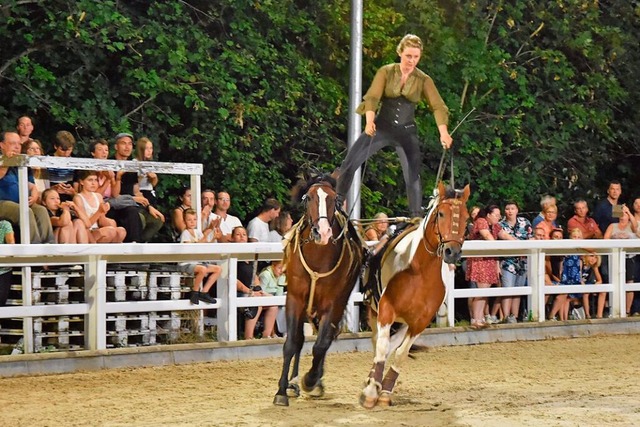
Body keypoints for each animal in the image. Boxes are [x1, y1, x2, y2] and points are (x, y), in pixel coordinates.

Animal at [274, 175, 364, 408]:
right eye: (308, 197)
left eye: (335, 199)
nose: (322, 232)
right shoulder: (295, 299)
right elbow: (291, 343)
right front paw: (282, 391)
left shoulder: (332, 304)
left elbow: (321, 345)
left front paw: (311, 379)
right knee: (299, 341)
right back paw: (292, 383)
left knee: (325, 340)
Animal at [360, 182, 470, 410]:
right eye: (441, 213)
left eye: (465, 216)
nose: (452, 252)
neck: (418, 271)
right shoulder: (386, 309)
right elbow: (381, 348)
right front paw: (371, 392)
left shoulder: (420, 322)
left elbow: (400, 353)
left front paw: (384, 392)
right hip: (374, 312)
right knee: (378, 343)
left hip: (404, 323)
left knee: (392, 345)